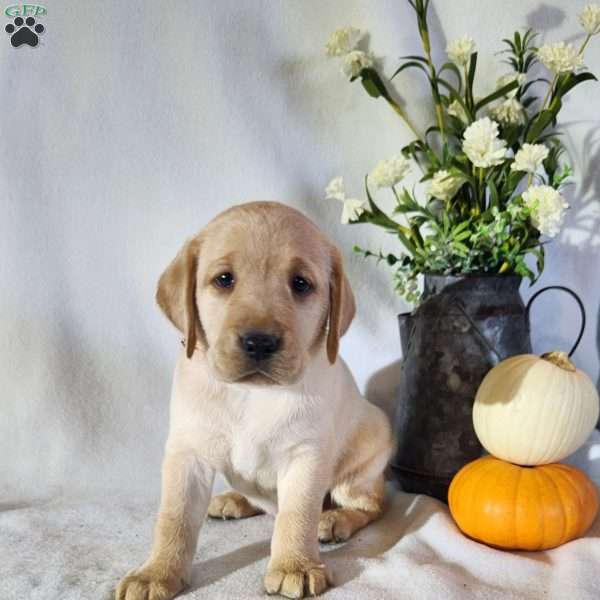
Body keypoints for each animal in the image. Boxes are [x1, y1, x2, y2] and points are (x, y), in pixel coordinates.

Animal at [116, 203, 394, 600]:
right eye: (224, 279)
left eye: (300, 283)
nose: (259, 342)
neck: (252, 394)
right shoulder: (187, 452)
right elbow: (174, 517)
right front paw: (156, 572)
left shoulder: (306, 455)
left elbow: (298, 514)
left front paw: (295, 565)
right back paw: (234, 499)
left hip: (364, 460)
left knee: (372, 505)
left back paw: (334, 519)